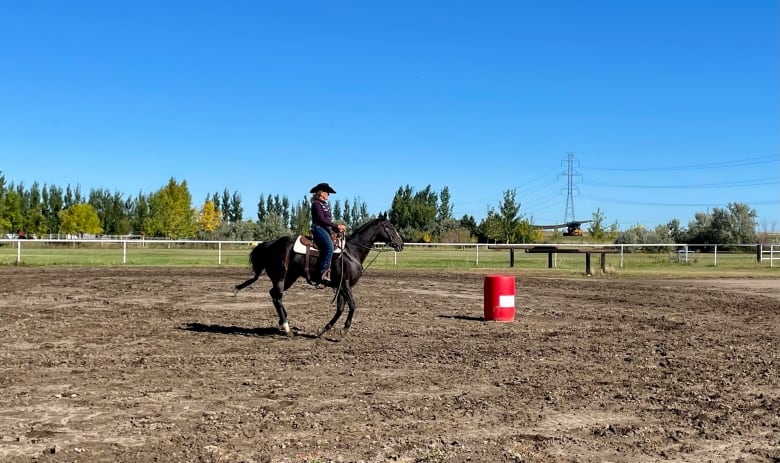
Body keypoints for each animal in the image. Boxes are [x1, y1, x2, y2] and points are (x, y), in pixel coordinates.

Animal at [233, 213, 406, 338]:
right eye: (389, 227)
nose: (401, 244)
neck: (352, 251)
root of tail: (269, 244)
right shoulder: (345, 284)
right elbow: (352, 305)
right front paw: (344, 329)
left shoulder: (341, 286)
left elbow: (340, 308)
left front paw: (324, 329)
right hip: (280, 277)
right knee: (277, 297)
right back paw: (287, 328)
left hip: (290, 277)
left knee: (274, 295)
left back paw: (284, 322)